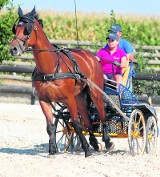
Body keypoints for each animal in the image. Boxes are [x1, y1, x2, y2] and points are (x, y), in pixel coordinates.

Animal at [9, 6, 114, 157]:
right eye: (16, 27)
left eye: (27, 29)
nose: (13, 49)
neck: (51, 69)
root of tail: (90, 56)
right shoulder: (44, 100)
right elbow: (50, 127)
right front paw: (52, 150)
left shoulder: (68, 99)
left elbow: (76, 124)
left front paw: (87, 150)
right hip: (79, 97)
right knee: (87, 120)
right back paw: (94, 143)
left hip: (95, 93)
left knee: (102, 114)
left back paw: (107, 141)